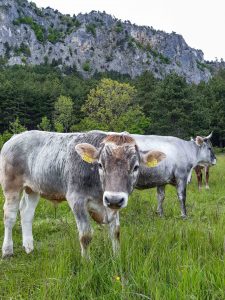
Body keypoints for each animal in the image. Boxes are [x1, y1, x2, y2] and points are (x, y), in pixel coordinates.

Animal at [0, 131, 165, 258]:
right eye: (100, 165)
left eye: (136, 167)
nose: (114, 199)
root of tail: (16, 136)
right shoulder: (77, 199)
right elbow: (85, 236)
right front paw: (87, 263)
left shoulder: (111, 205)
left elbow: (116, 232)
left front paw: (117, 258)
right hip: (11, 186)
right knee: (10, 216)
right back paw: (7, 251)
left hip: (33, 188)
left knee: (26, 213)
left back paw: (29, 246)